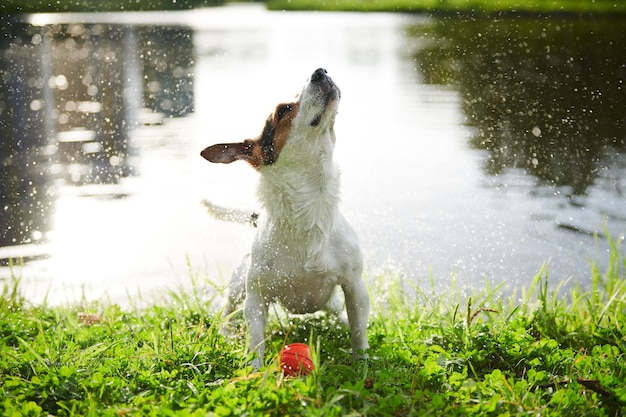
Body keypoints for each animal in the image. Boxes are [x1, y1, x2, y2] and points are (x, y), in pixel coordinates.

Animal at [200, 68, 368, 368]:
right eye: (283, 110)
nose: (320, 71)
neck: (308, 210)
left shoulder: (355, 286)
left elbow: (359, 332)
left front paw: (362, 364)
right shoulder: (256, 298)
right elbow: (256, 341)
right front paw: (254, 372)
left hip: (333, 300)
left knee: (340, 313)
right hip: (238, 285)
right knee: (226, 309)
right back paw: (226, 331)